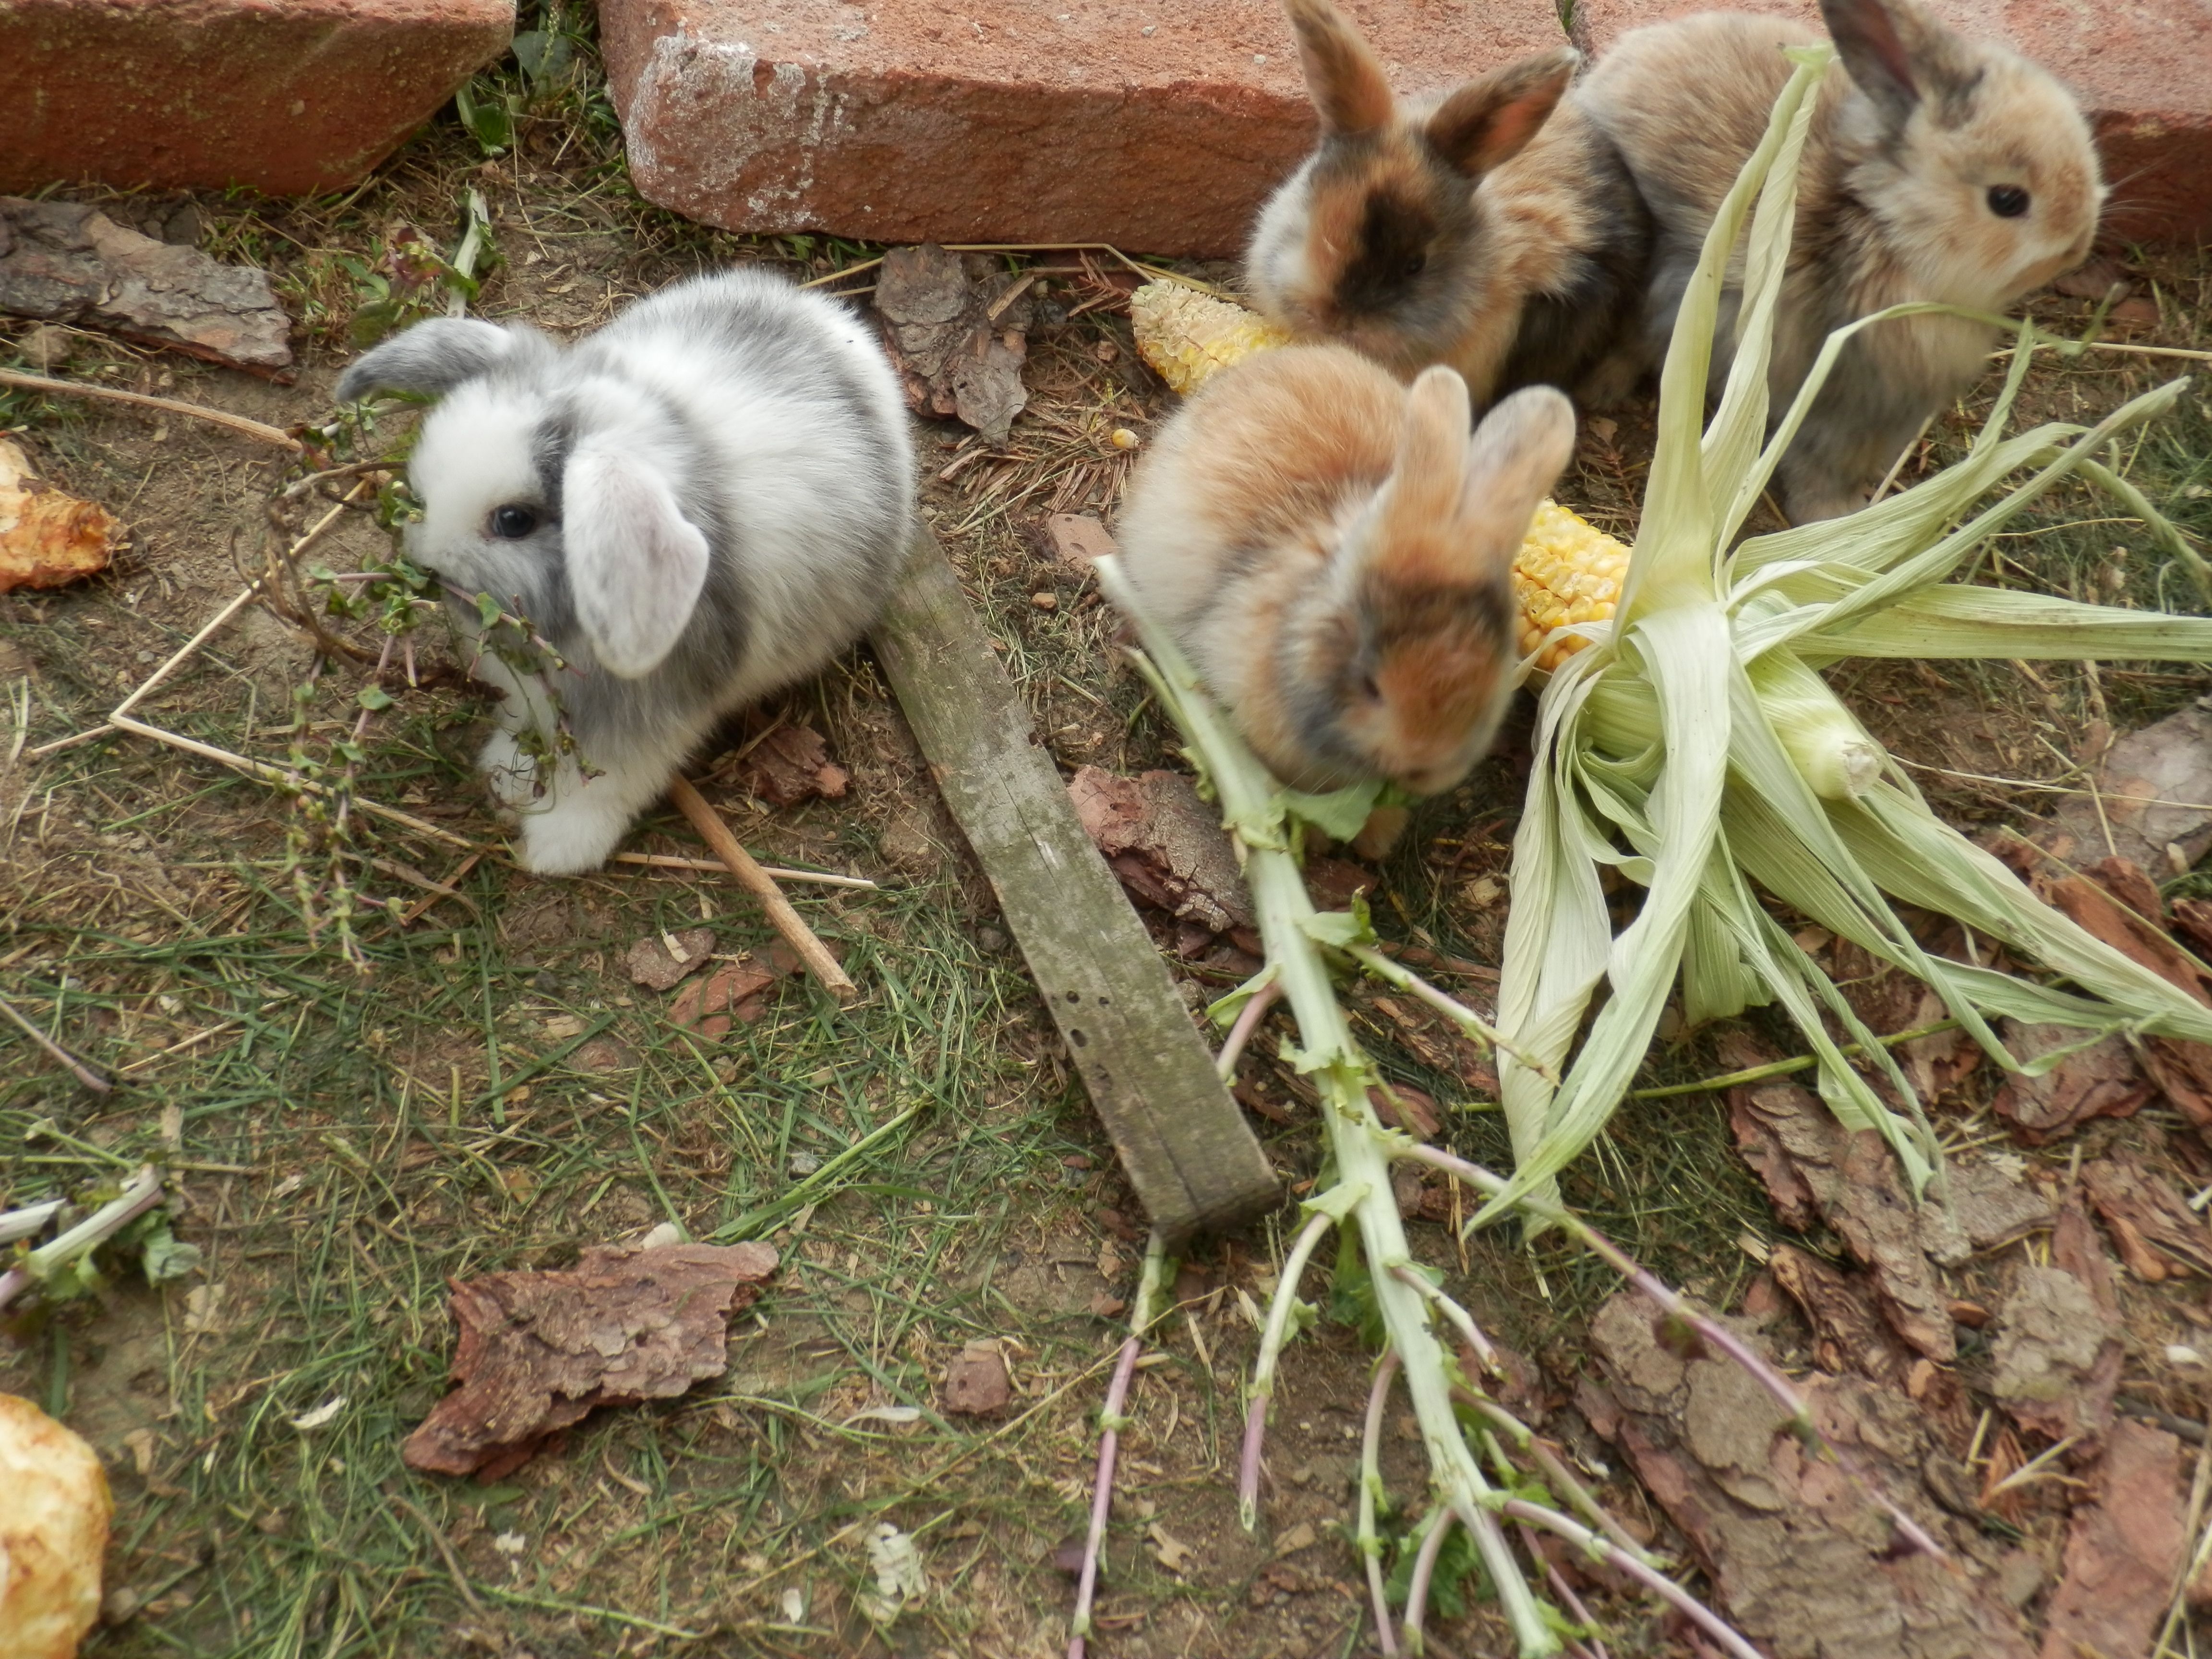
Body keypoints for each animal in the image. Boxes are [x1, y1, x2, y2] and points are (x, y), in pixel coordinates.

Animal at [334, 267, 915, 875]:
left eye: (514, 521)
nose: (422, 561)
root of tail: (836, 327)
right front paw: (507, 777)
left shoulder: (644, 724)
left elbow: (601, 787)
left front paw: (556, 850)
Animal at [1579, 0, 2104, 522]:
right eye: (2007, 200)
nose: (2077, 246)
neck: (1884, 232)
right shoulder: (1837, 409)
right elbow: (1820, 472)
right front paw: (1832, 516)